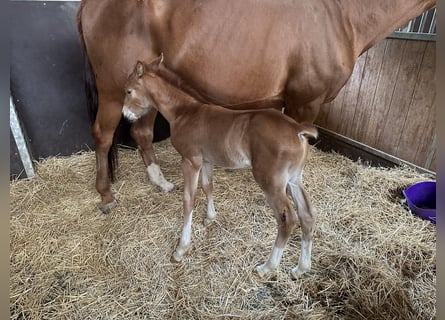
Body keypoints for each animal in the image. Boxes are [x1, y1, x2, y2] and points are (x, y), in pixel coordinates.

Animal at [121, 58, 316, 278]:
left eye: (128, 91)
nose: (125, 115)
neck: (184, 113)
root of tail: (298, 130)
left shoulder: (191, 160)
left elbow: (189, 199)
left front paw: (181, 249)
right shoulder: (207, 160)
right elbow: (208, 186)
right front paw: (210, 218)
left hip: (271, 181)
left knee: (288, 219)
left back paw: (267, 267)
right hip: (294, 179)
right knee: (307, 215)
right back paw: (301, 268)